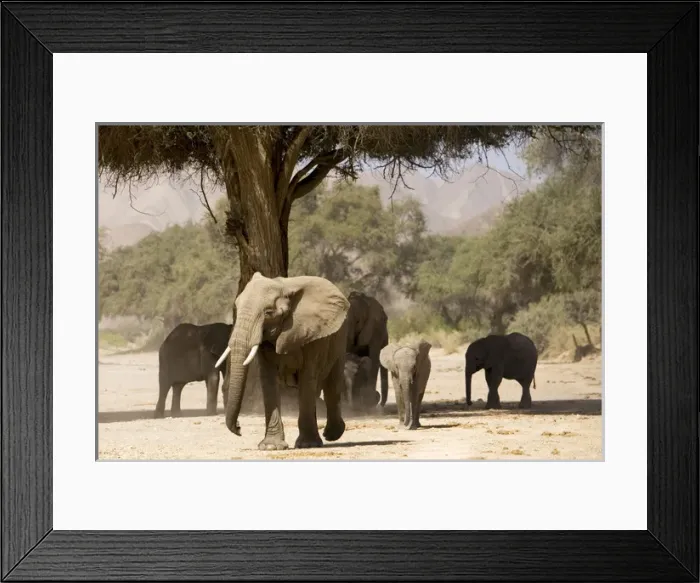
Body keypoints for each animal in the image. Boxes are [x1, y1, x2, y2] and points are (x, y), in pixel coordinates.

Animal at [215, 272, 350, 450]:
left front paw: (307, 445)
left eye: (268, 313)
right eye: (236, 307)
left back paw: (331, 435)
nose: (239, 427)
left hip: (339, 338)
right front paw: (270, 446)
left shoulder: (312, 335)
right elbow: (268, 380)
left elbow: (308, 377)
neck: (283, 286)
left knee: (331, 384)